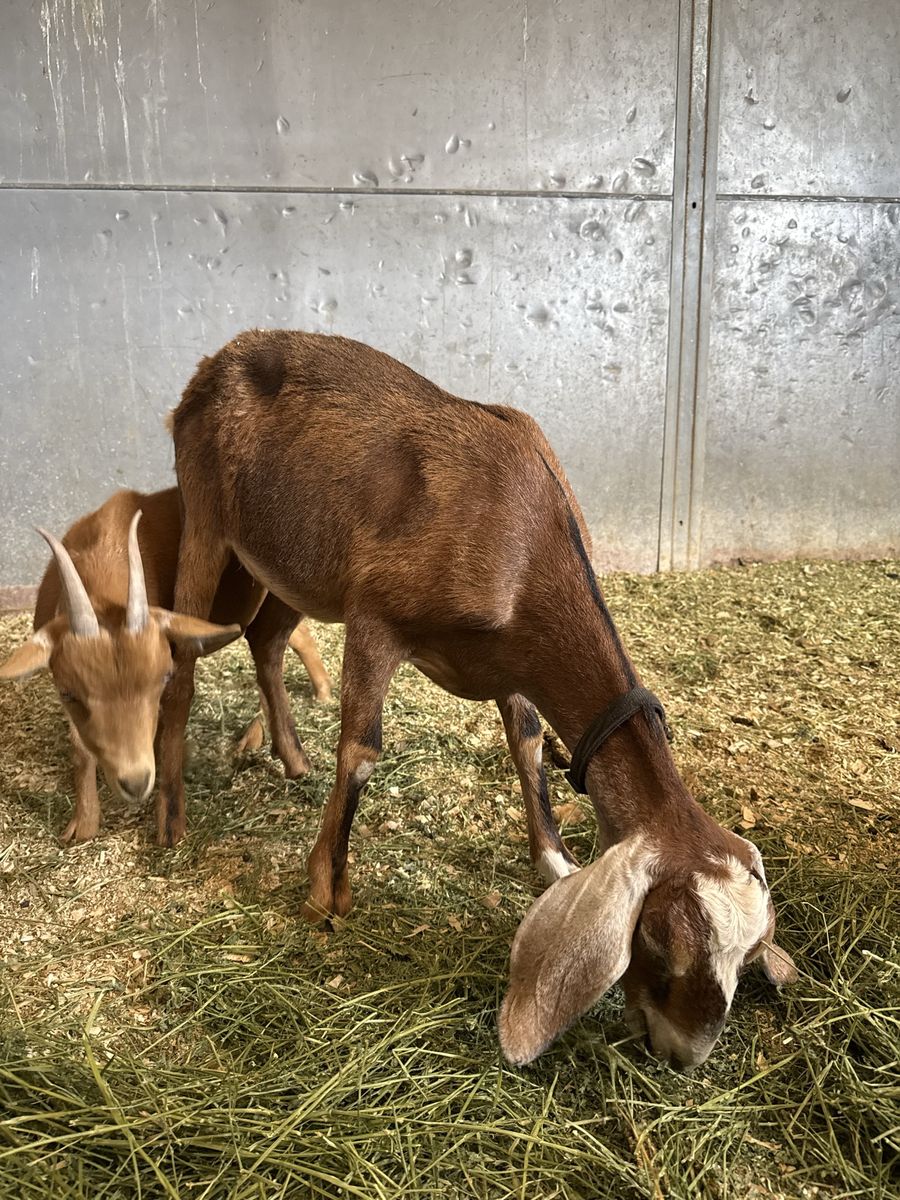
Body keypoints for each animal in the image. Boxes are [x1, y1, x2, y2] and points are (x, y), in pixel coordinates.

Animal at [0, 486, 332, 843]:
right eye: (68, 694)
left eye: (164, 678)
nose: (136, 782)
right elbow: (79, 744)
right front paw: (84, 823)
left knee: (283, 643)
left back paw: (318, 698)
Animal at [158, 329, 797, 1070]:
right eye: (662, 944)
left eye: (744, 957)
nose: (681, 1056)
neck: (525, 538)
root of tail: (216, 362)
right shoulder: (375, 616)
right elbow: (362, 750)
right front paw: (324, 895)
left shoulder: (511, 662)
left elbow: (528, 743)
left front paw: (553, 859)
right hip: (206, 516)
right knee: (181, 658)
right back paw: (170, 816)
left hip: (290, 564)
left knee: (265, 638)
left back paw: (290, 757)